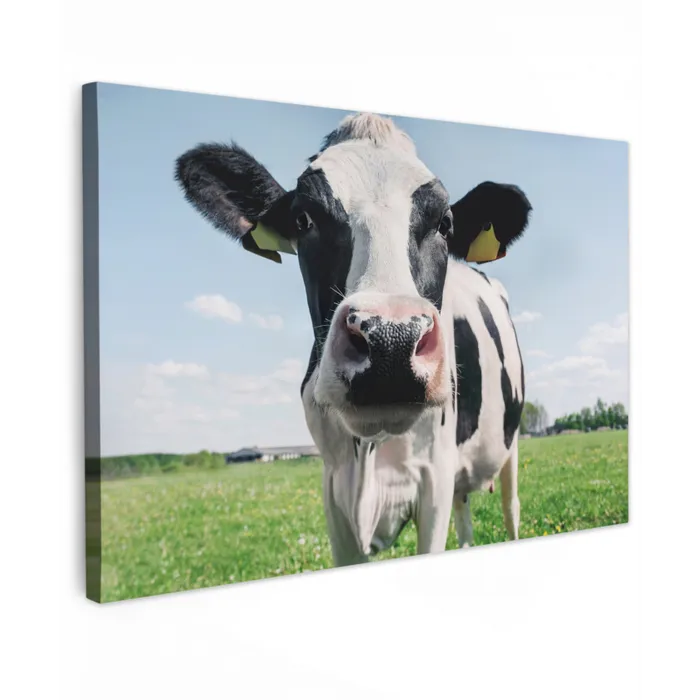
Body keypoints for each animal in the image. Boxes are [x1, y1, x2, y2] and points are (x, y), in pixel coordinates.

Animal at [175, 113, 532, 567]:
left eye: (445, 223)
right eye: (303, 219)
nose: (392, 341)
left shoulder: (434, 476)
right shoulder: (334, 488)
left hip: (510, 445)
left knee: (511, 508)